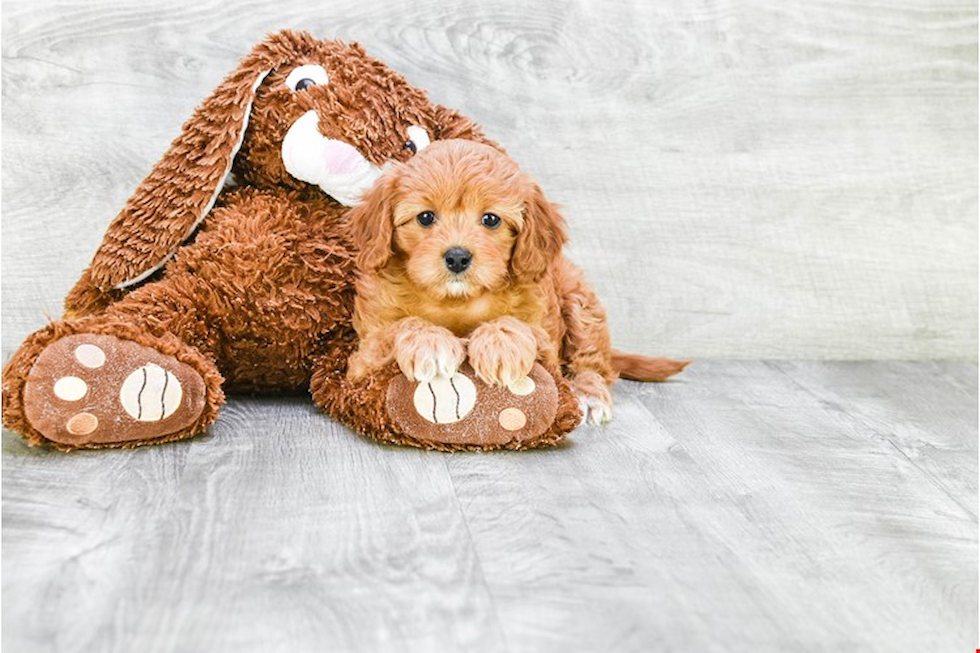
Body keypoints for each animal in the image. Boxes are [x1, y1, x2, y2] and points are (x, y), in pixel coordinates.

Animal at [344, 139, 688, 422]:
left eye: (490, 219)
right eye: (426, 217)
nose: (457, 257)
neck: (456, 300)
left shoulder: (546, 345)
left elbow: (518, 327)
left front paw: (499, 345)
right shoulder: (364, 354)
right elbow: (400, 327)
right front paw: (430, 341)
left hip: (579, 299)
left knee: (594, 364)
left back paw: (589, 396)